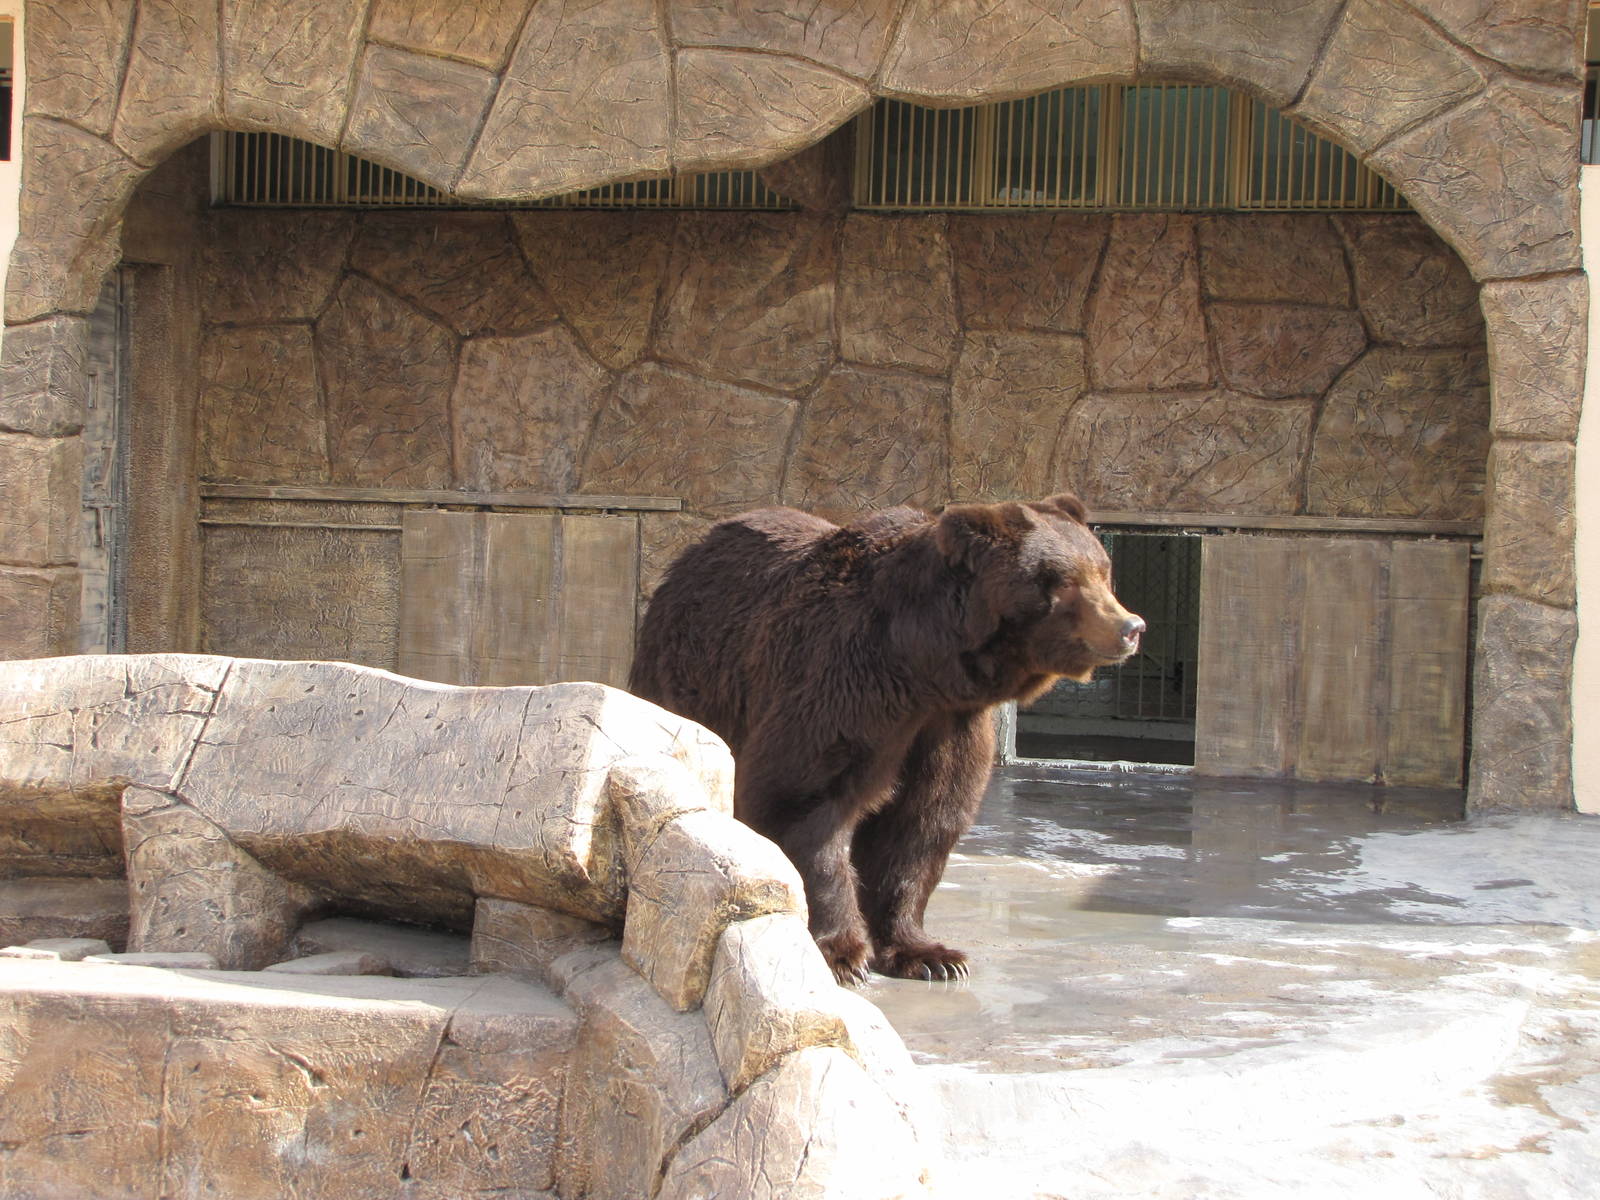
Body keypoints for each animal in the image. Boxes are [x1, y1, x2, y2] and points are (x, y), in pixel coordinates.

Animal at [628, 495, 1144, 984]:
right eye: (1063, 579)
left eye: (1103, 570)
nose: (1131, 627)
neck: (921, 663)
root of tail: (691, 552)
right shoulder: (845, 684)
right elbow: (804, 799)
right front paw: (840, 953)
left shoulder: (948, 723)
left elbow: (921, 823)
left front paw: (931, 955)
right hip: (696, 671)